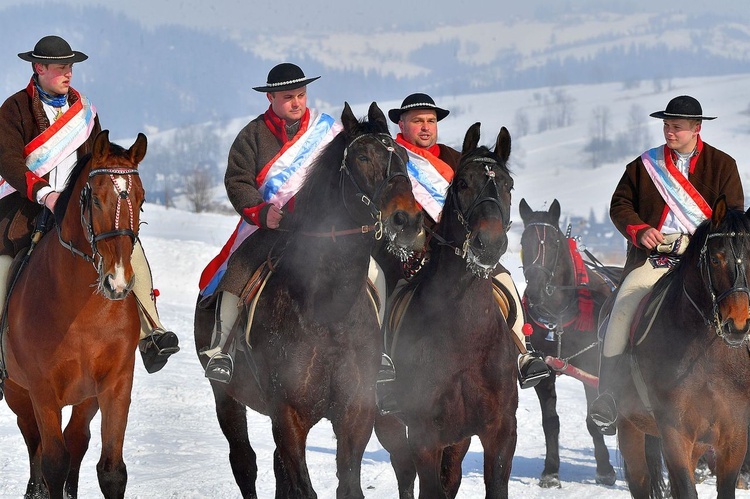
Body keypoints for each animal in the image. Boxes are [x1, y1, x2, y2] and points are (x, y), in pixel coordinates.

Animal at [1, 131, 146, 498]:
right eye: (94, 200)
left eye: (141, 201)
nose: (118, 281)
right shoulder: (41, 389)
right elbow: (53, 461)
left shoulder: (114, 385)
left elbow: (111, 471)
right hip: (16, 391)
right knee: (34, 440)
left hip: (84, 399)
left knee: (77, 440)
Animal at [194, 102, 426, 499]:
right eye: (363, 156)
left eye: (404, 157)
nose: (407, 221)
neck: (326, 309)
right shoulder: (288, 416)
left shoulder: (356, 415)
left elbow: (348, 485)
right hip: (225, 396)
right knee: (244, 462)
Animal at [374, 124, 516, 499]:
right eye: (463, 183)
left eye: (508, 185)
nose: (489, 244)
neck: (465, 336)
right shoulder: (425, 436)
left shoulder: (500, 432)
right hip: (390, 424)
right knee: (404, 473)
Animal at [516, 199, 624, 488]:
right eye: (523, 241)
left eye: (554, 243)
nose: (535, 291)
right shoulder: (545, 372)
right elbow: (550, 422)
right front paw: (551, 471)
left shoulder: (591, 367)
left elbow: (592, 420)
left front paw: (605, 469)